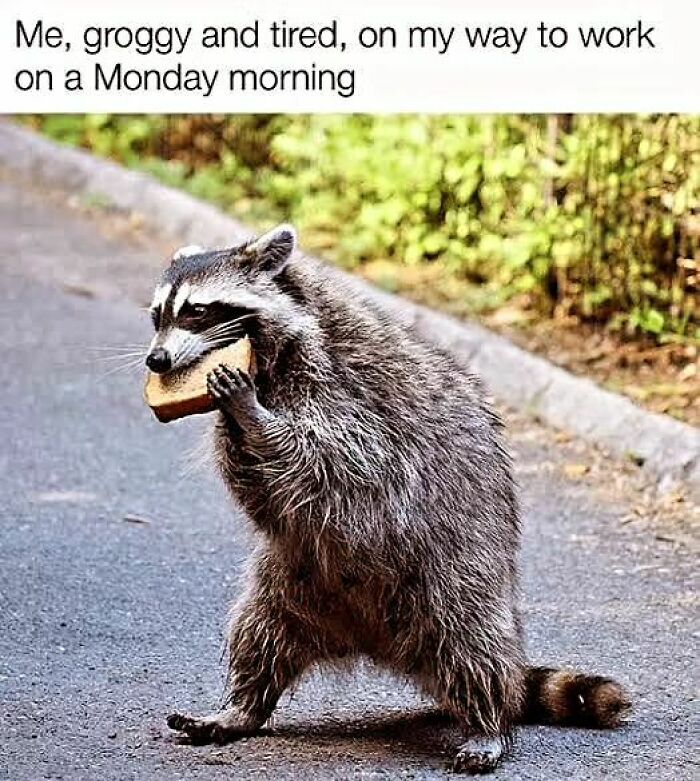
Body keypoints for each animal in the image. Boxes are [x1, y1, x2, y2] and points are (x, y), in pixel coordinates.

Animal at [147, 225, 630, 774]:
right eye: (158, 314)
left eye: (196, 311)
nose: (155, 360)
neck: (274, 353)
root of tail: (378, 642)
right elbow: (266, 496)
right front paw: (232, 422)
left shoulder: (345, 387)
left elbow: (343, 464)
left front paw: (251, 416)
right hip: (295, 578)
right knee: (260, 630)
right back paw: (243, 706)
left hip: (457, 565)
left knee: (472, 636)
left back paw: (487, 721)